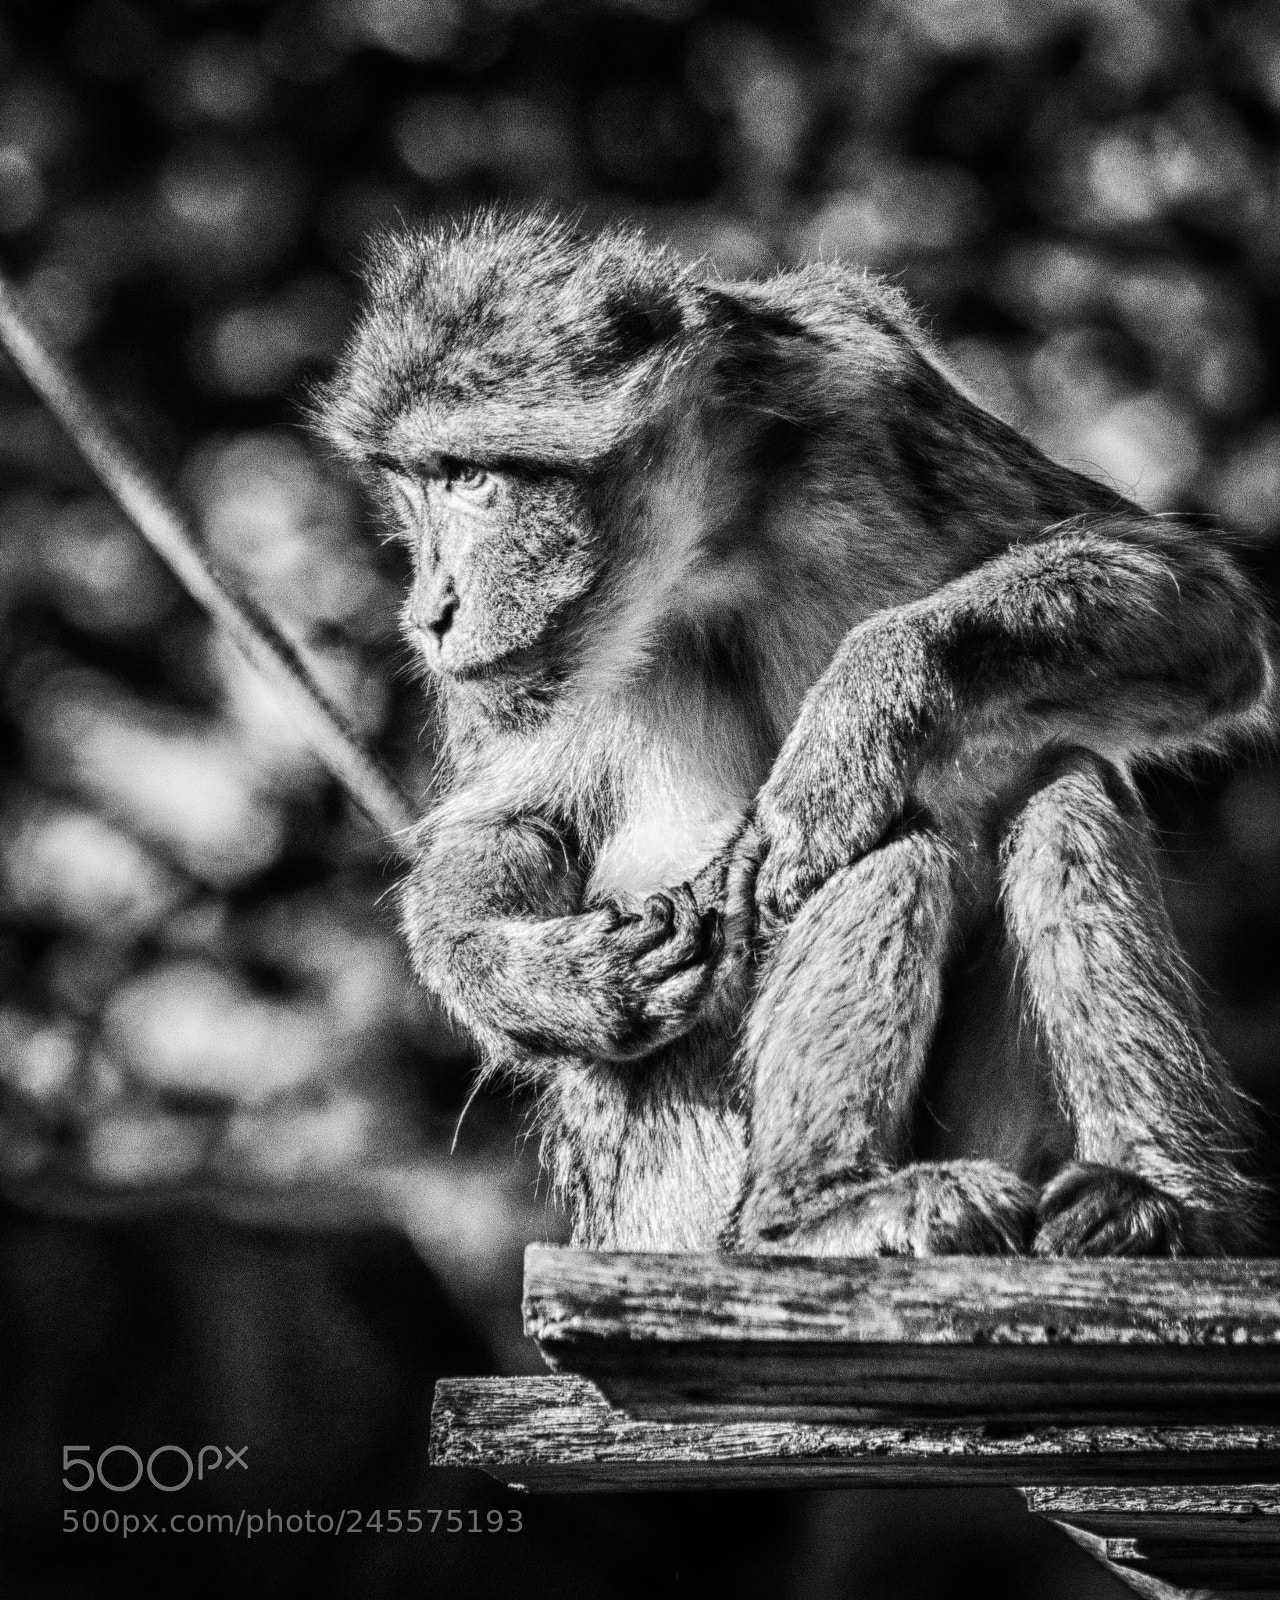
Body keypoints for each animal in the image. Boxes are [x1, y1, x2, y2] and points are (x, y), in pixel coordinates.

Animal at [315, 209, 1272, 1258]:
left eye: (471, 478)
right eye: (415, 487)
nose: (430, 612)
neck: (712, 545)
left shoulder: (875, 392)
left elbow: (1202, 615)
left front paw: (857, 714)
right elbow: (508, 824)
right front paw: (550, 985)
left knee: (1056, 782)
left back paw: (1148, 1196)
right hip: (672, 1190)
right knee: (898, 841)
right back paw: (812, 1208)